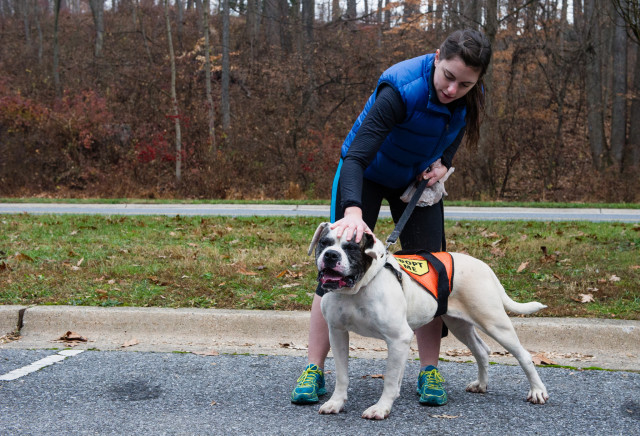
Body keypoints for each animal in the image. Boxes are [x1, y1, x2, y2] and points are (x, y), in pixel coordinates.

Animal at [310, 223, 552, 420]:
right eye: (324, 243)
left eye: (351, 247)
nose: (331, 255)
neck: (357, 289)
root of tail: (485, 266)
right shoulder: (337, 333)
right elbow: (342, 374)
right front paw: (335, 403)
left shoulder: (398, 338)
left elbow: (390, 379)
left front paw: (381, 408)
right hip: (459, 325)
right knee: (482, 351)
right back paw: (481, 384)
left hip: (494, 322)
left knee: (523, 355)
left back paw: (537, 391)